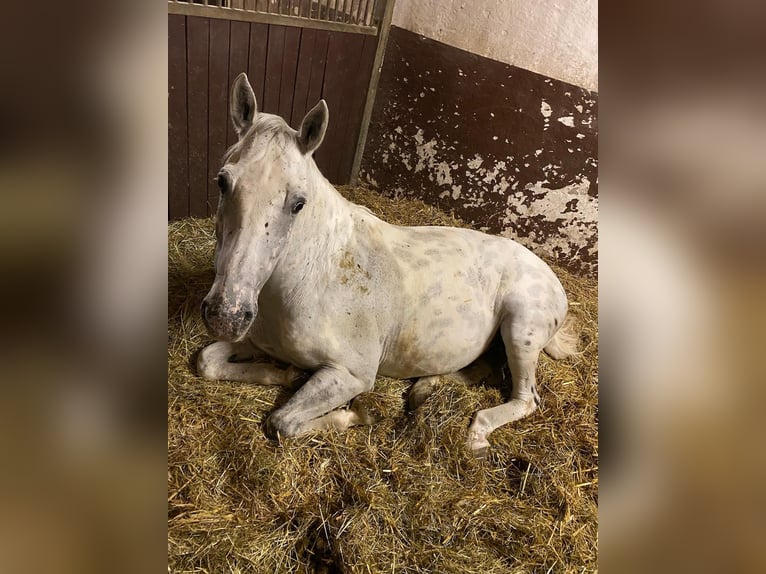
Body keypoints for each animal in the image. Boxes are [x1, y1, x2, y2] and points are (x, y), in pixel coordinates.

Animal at [197, 72, 578, 457]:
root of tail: (551, 276)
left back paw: (476, 434)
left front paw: (356, 414)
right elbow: (207, 361)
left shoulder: (351, 374)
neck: (310, 278)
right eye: (223, 181)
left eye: (298, 203)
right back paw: (424, 389)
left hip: (521, 328)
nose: (227, 315)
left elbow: (282, 422)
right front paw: (286, 374)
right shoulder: (259, 342)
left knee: (525, 399)